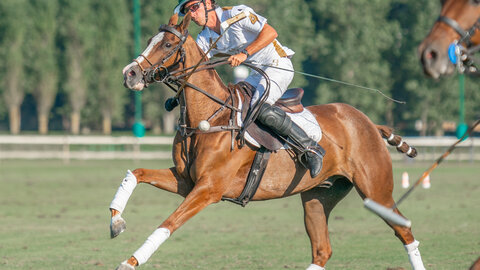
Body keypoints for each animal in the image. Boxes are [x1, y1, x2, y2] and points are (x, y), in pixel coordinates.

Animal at [110, 13, 426, 270]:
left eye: (166, 45)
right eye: (149, 40)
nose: (129, 74)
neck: (211, 116)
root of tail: (369, 122)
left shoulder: (209, 189)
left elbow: (168, 223)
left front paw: (130, 261)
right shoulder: (185, 181)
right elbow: (135, 173)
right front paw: (116, 221)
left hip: (376, 191)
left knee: (406, 232)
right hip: (318, 195)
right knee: (322, 250)